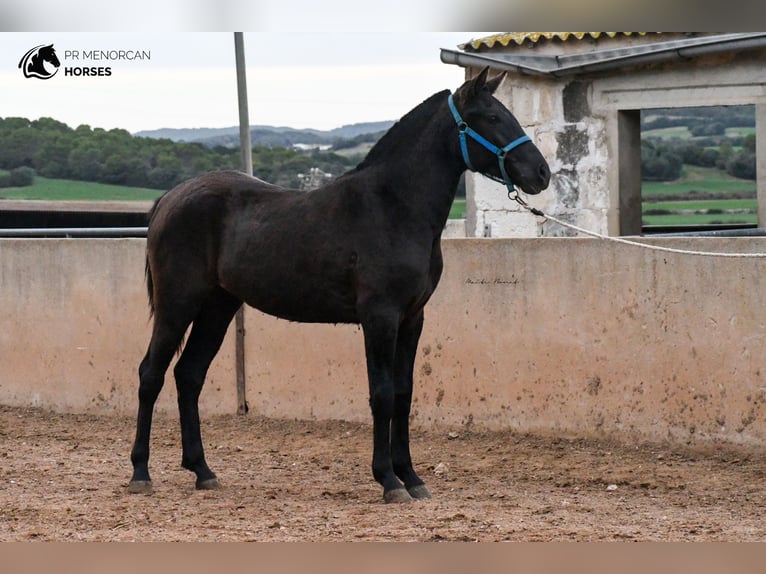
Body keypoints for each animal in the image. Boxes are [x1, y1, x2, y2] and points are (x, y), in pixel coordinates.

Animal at [132, 68, 552, 504]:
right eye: (491, 117)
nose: (541, 173)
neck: (393, 208)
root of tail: (169, 199)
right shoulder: (379, 317)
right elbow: (381, 394)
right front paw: (388, 480)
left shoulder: (412, 318)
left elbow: (403, 394)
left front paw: (412, 477)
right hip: (177, 305)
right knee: (151, 375)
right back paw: (141, 473)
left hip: (218, 308)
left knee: (188, 375)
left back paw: (202, 470)